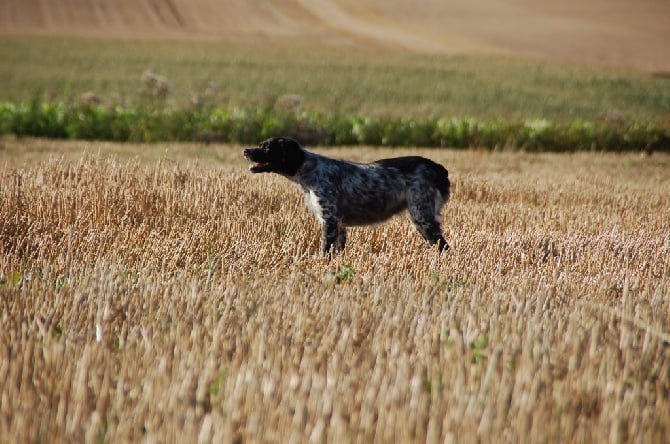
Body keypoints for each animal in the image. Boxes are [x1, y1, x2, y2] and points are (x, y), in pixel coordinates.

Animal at [243, 137, 452, 253]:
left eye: (266, 147)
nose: (245, 150)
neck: (309, 169)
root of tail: (438, 168)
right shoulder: (340, 224)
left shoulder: (330, 219)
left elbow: (325, 250)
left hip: (422, 216)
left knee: (443, 246)